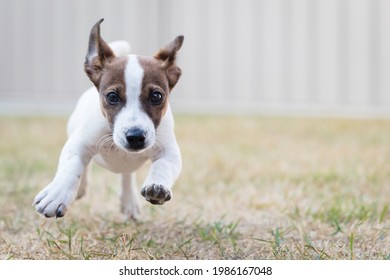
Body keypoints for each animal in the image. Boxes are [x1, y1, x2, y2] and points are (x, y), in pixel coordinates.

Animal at [33, 18, 183, 220]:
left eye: (157, 96)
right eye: (112, 96)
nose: (135, 136)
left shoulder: (169, 152)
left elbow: (163, 167)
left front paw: (157, 186)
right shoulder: (79, 142)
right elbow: (72, 166)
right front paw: (57, 195)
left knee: (127, 176)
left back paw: (129, 201)